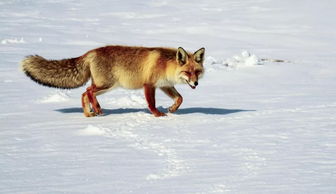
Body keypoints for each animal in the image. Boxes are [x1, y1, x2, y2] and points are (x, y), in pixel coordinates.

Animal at [21, 45, 205, 116]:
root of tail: (91, 52)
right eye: (187, 72)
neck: (166, 66)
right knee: (87, 91)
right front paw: (158, 115)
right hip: (106, 85)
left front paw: (172, 109)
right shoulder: (149, 85)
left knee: (83, 94)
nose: (196, 83)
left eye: (197, 72)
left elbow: (180, 98)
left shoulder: (165, 85)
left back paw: (89, 113)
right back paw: (96, 109)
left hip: (106, 87)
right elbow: (151, 103)